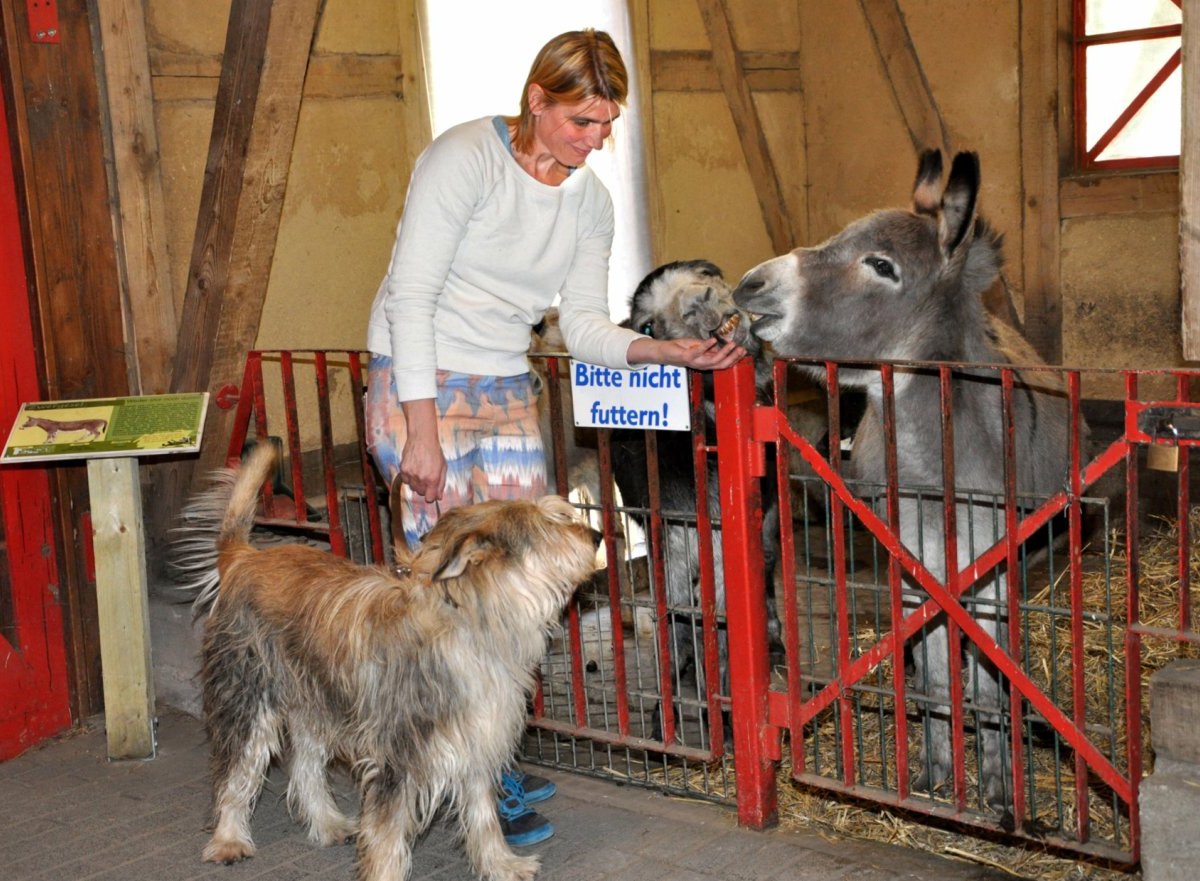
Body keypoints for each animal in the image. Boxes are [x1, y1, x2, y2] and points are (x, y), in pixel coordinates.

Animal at [174, 448, 595, 881]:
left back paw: (327, 823)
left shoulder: (476, 739)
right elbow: (387, 835)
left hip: (316, 702)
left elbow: (483, 815)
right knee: (235, 772)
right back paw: (229, 838)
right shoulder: (398, 756)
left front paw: (500, 864)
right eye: (549, 526)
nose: (595, 536)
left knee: (306, 765)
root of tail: (244, 557)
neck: (467, 622)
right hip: (247, 700)